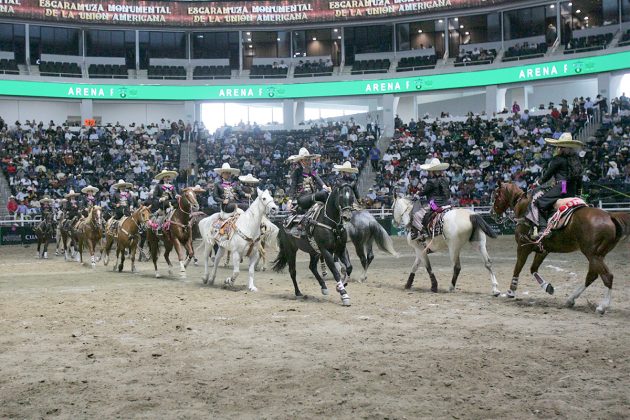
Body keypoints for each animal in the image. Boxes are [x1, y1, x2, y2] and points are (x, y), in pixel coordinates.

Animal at [494, 182, 630, 314]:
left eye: (496, 195)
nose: (492, 213)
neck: (524, 208)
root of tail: (610, 216)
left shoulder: (523, 247)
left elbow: (518, 267)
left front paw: (511, 291)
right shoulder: (543, 250)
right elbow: (533, 269)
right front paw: (547, 287)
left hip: (593, 255)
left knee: (607, 277)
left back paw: (602, 306)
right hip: (597, 255)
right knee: (592, 276)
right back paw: (571, 299)